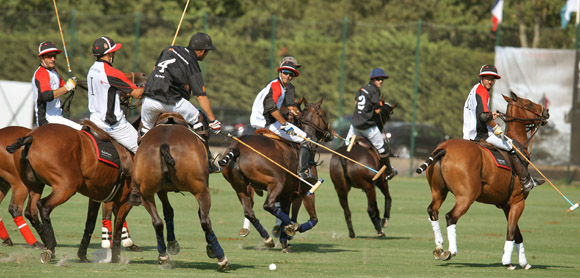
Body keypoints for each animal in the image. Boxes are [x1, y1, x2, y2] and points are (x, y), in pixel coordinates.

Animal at [6, 123, 134, 262]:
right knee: (43, 206)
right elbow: (118, 228)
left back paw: (47, 245)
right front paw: (116, 258)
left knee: (31, 211)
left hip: (36, 186)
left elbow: (90, 224)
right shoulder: (125, 201)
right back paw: (50, 247)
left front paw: (82, 255)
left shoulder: (95, 197)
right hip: (67, 186)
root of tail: (31, 137)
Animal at [132, 113, 231, 270]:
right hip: (201, 190)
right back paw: (221, 258)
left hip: (145, 193)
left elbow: (168, 212)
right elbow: (198, 214)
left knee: (157, 222)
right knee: (205, 220)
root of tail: (164, 145)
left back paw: (163, 256)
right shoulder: (202, 188)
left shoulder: (161, 191)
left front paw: (172, 245)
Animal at [220, 97, 334, 252]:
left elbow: (285, 212)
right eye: (324, 114)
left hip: (239, 187)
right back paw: (288, 227)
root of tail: (237, 148)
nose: (331, 133)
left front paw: (284, 240)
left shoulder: (287, 193)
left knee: (249, 211)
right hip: (276, 182)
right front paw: (291, 230)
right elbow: (313, 219)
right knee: (268, 205)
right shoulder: (305, 192)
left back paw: (267, 238)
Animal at [328, 99, 396, 237]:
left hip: (340, 188)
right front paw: (384, 220)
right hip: (369, 186)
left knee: (347, 211)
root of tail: (344, 158)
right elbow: (388, 198)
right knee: (370, 209)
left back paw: (352, 233)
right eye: (389, 113)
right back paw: (380, 231)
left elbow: (377, 206)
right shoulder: (380, 181)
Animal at [416, 93, 548, 270]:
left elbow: (517, 234)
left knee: (433, 211)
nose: (546, 112)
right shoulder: (518, 201)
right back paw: (451, 251)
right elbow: (511, 232)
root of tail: (444, 149)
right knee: (451, 216)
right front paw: (508, 262)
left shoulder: (506, 204)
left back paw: (439, 248)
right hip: (467, 195)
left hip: (438, 191)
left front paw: (524, 263)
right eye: (529, 103)